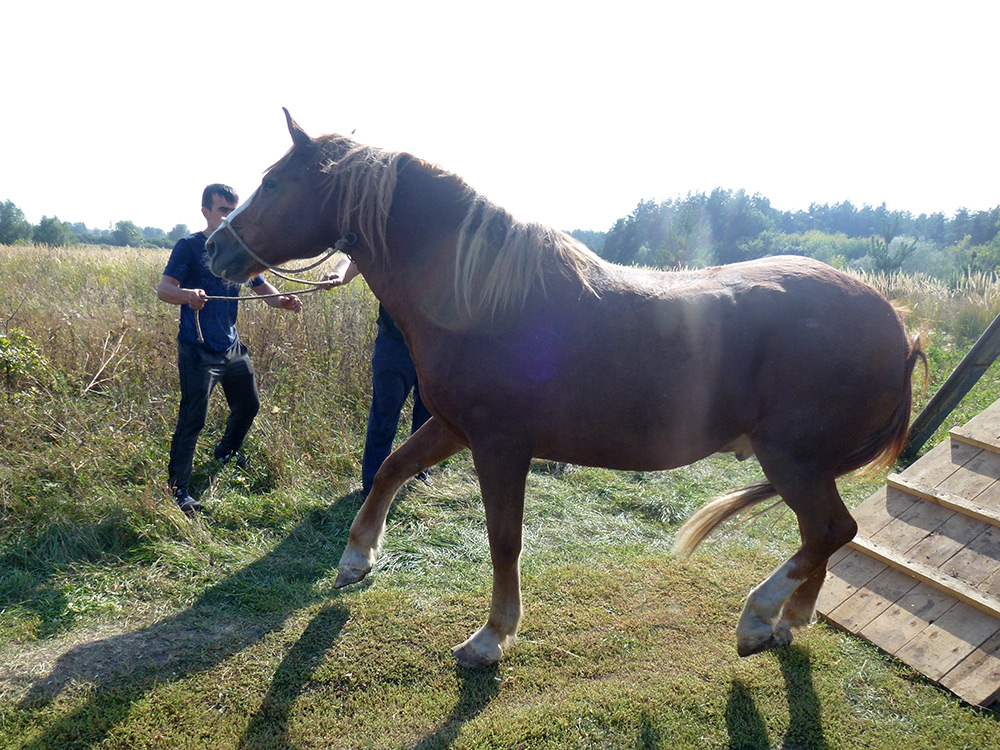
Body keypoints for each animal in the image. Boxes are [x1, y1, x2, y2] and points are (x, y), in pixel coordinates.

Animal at [203, 108, 920, 668]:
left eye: (273, 181)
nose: (213, 250)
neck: (483, 294)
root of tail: (897, 325)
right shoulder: (454, 425)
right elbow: (391, 468)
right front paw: (357, 557)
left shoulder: (499, 444)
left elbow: (504, 538)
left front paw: (491, 637)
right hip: (804, 465)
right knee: (822, 537)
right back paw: (790, 619)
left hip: (794, 460)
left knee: (831, 530)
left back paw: (757, 616)